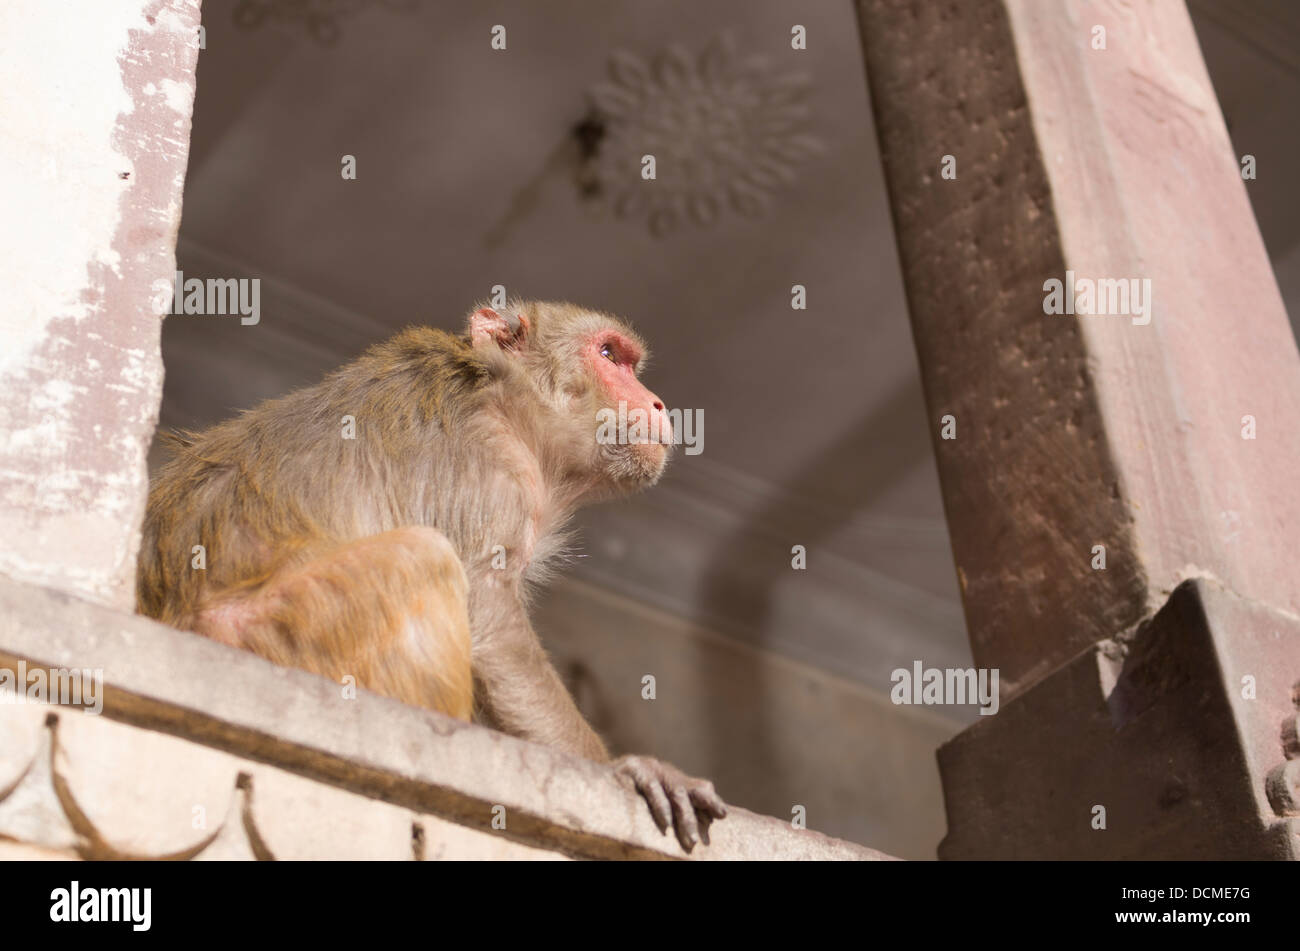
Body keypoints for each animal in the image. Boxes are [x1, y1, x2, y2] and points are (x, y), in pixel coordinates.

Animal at [138, 300, 726, 851]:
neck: (510, 406)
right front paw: (622, 771)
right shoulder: (490, 469)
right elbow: (490, 621)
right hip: (274, 632)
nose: (657, 403)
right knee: (423, 555)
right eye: (608, 355)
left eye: (628, 362)